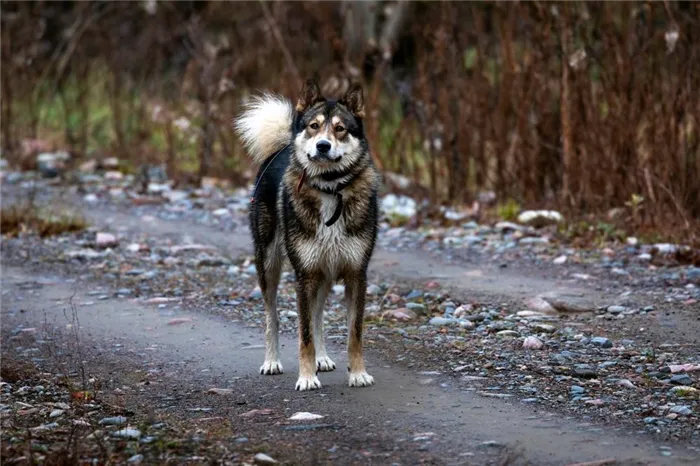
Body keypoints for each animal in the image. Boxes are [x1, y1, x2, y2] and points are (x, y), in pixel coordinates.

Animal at [234, 79, 378, 390]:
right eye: (314, 126)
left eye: (340, 128)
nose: (323, 145)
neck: (330, 189)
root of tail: (280, 148)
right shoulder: (305, 275)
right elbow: (304, 335)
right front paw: (307, 376)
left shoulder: (355, 274)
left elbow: (354, 333)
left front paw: (358, 373)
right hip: (270, 265)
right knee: (272, 317)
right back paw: (272, 361)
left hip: (323, 273)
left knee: (318, 315)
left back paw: (322, 359)